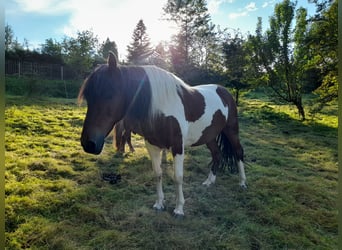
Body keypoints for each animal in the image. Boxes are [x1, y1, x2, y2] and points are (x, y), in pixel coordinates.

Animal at [79, 51, 247, 216]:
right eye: (88, 97)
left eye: (109, 94)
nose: (88, 143)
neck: (161, 108)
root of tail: (224, 91)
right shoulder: (152, 146)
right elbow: (158, 173)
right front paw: (159, 203)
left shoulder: (178, 146)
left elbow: (178, 177)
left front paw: (179, 208)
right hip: (208, 135)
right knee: (217, 154)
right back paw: (209, 181)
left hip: (231, 130)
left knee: (238, 152)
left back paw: (242, 182)